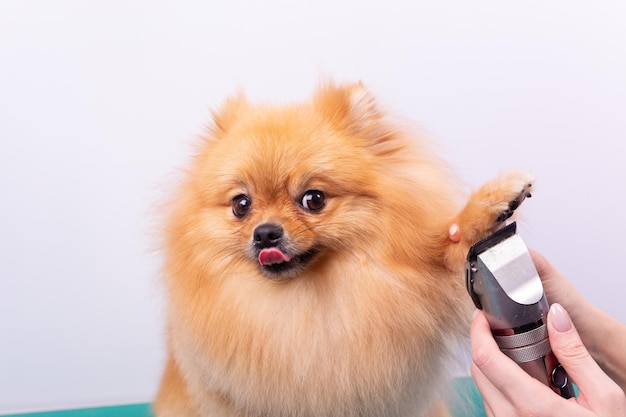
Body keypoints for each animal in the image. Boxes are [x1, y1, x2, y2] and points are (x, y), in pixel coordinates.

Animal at [152, 81, 532, 416]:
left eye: (314, 199)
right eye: (241, 205)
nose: (265, 234)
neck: (303, 300)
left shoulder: (425, 282)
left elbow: (453, 253)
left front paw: (490, 205)